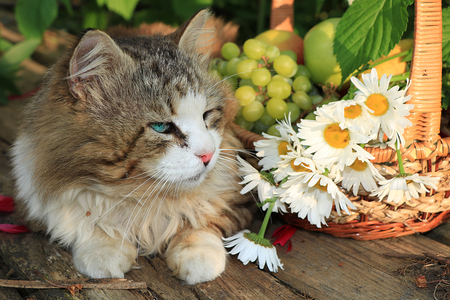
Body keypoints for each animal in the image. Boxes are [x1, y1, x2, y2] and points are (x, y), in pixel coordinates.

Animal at [10, 8, 255, 286]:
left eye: (206, 115)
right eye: (161, 127)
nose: (208, 155)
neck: (142, 197)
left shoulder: (235, 198)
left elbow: (203, 221)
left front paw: (198, 255)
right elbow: (85, 221)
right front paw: (104, 249)